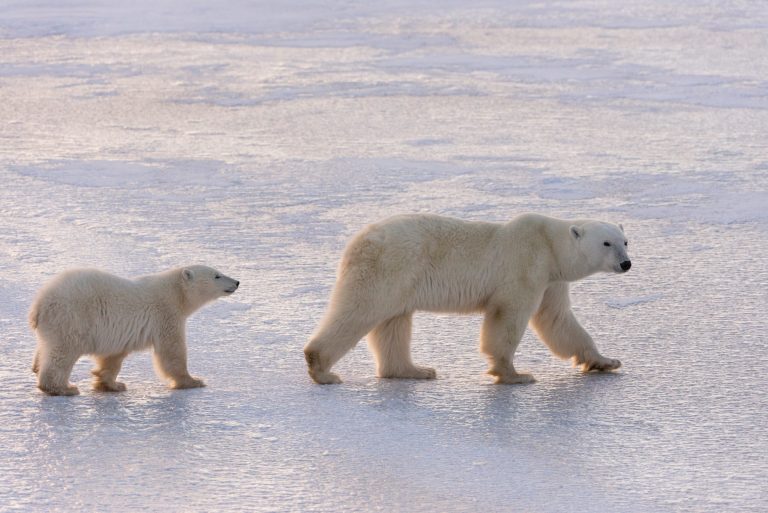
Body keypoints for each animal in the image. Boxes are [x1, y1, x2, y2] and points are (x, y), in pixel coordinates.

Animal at [30, 266, 238, 394]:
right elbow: (172, 352)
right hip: (72, 317)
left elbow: (113, 357)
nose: (237, 282)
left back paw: (37, 367)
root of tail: (40, 303)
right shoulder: (166, 314)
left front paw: (112, 384)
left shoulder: (117, 332)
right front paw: (193, 381)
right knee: (63, 352)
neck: (176, 292)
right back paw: (63, 388)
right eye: (217, 275)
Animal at [304, 212, 632, 384]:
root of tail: (357, 242)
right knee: (360, 310)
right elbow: (508, 319)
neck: (549, 245)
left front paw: (606, 361)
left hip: (399, 281)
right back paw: (321, 367)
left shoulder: (552, 280)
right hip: (389, 267)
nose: (626, 263)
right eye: (606, 243)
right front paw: (515, 374)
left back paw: (415, 370)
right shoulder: (524, 267)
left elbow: (559, 321)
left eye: (625, 241)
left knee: (393, 324)